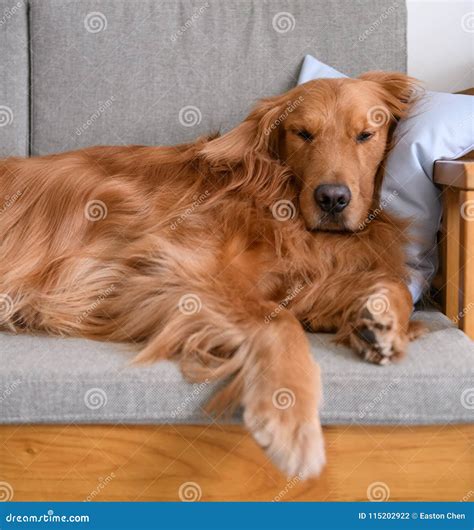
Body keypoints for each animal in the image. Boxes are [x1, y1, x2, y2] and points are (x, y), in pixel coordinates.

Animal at [0, 71, 424, 478]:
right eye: (303, 133)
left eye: (365, 135)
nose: (332, 199)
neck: (277, 201)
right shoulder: (169, 267)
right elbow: (279, 321)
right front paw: (289, 415)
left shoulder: (311, 285)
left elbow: (393, 286)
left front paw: (378, 319)